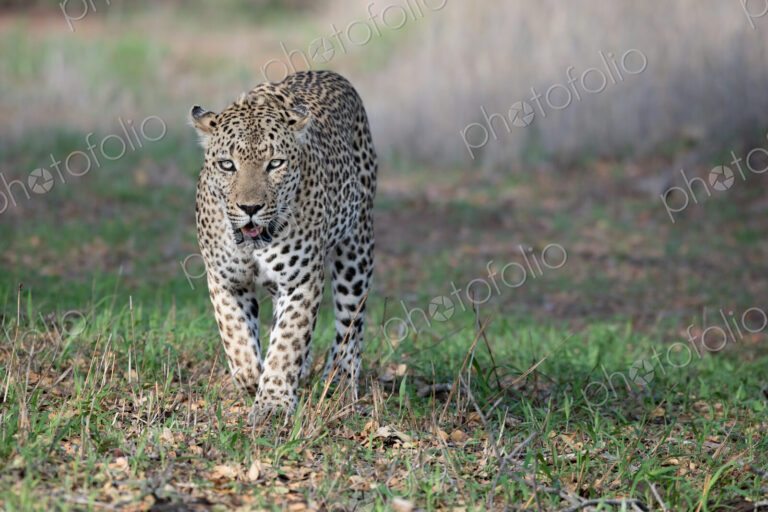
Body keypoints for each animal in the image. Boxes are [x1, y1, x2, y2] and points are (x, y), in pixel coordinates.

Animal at [190, 70, 377, 414]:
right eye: (227, 165)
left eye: (275, 164)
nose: (250, 208)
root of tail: (329, 73)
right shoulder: (226, 280)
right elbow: (237, 339)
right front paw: (253, 380)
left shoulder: (301, 280)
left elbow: (288, 341)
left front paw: (273, 403)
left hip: (357, 249)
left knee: (350, 324)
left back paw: (340, 383)